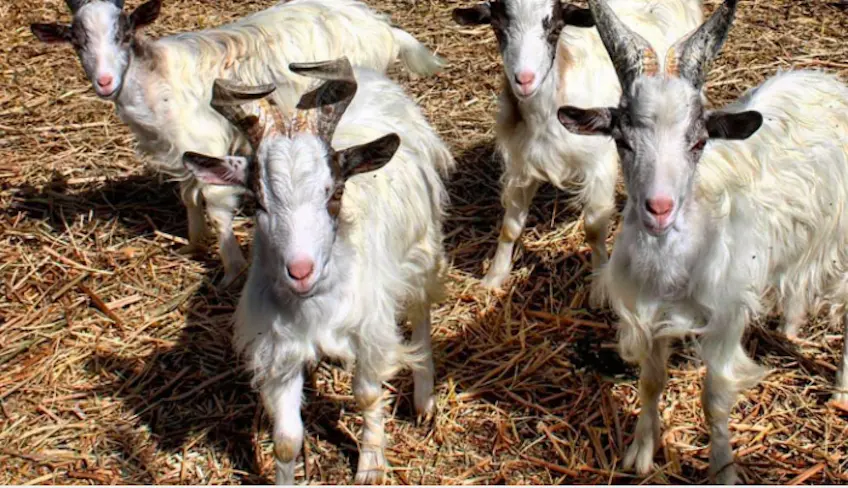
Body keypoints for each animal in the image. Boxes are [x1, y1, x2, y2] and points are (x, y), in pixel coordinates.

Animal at [32, 0, 444, 288]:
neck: (155, 79)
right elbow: (187, 196)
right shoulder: (180, 149)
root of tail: (382, 27)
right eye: (77, 40)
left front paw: (231, 268)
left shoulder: (207, 140)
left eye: (124, 34)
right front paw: (194, 242)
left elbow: (215, 205)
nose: (104, 82)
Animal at [183, 57, 454, 484]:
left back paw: (424, 400)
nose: (300, 271)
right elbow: (286, 440)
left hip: (422, 251)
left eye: (336, 192)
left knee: (421, 314)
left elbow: (367, 394)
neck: (316, 307)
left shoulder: (370, 331)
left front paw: (370, 466)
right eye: (257, 201)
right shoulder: (278, 351)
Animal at [450, 0, 704, 290]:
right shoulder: (521, 164)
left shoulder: (600, 165)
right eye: (497, 26)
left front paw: (600, 284)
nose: (524, 79)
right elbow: (511, 226)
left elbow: (593, 229)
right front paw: (493, 278)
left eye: (555, 28)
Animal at [556, 0, 848, 480]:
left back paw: (841, 392)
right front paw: (641, 453)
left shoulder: (726, 315)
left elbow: (714, 399)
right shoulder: (648, 313)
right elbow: (651, 381)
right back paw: (789, 326)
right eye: (622, 140)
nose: (659, 208)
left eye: (698, 142)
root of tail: (826, 80)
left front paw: (723, 469)